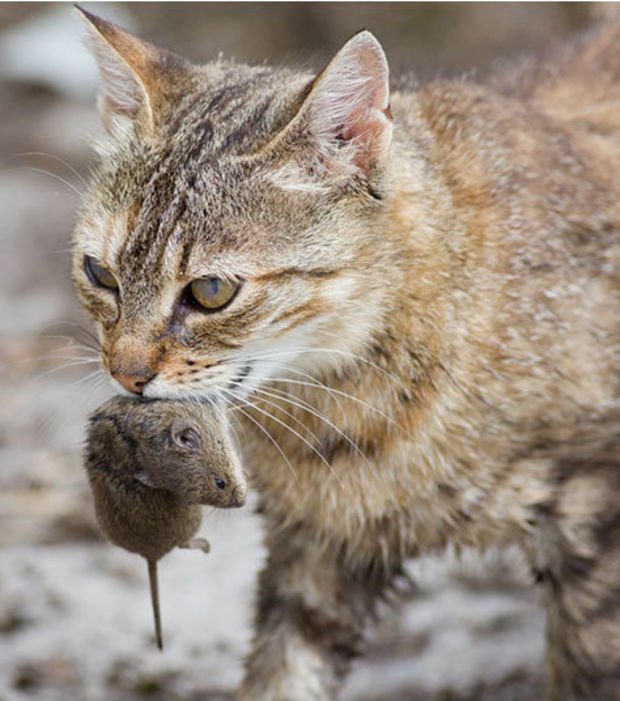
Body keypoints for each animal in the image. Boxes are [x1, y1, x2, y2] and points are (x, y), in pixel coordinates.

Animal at [72, 9, 620, 700]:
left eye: (210, 291)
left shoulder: (594, 516)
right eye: (100, 273)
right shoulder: (317, 548)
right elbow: (281, 675)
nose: (126, 373)